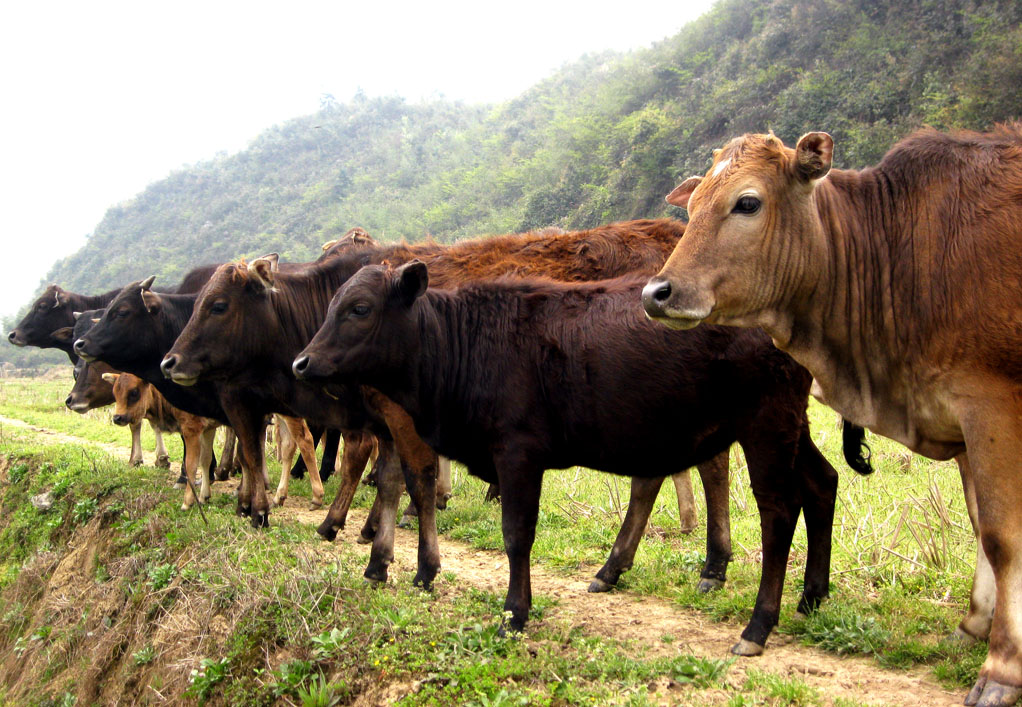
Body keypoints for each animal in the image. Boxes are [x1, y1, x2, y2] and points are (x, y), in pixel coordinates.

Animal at [641, 127, 1021, 707]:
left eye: (747, 203)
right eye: (694, 204)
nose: (656, 293)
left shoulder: (991, 406)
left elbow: (1002, 537)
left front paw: (1002, 668)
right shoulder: (962, 421)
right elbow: (982, 523)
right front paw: (976, 625)